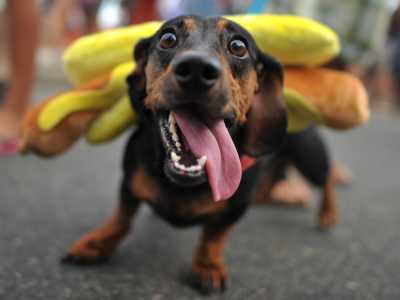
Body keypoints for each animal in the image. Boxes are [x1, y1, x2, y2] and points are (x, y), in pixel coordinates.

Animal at [61, 15, 330, 292]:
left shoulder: (234, 210)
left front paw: (207, 266)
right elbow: (121, 218)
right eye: (168, 38)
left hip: (311, 158)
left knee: (327, 180)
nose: (197, 70)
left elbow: (214, 236)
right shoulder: (129, 182)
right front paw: (97, 244)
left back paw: (327, 216)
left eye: (238, 46)